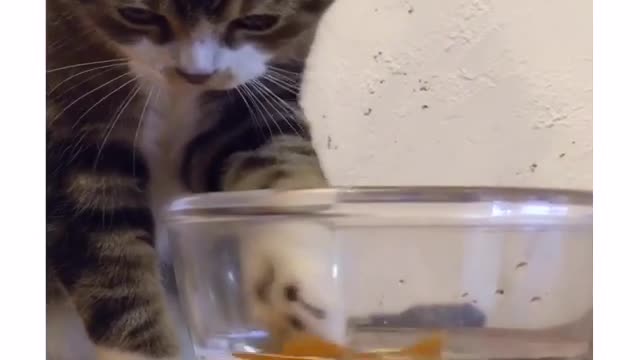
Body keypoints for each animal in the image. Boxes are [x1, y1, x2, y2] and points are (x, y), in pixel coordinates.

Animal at [46, 0, 336, 360]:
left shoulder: (251, 107)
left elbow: (280, 165)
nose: (196, 75)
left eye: (259, 21)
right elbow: (110, 260)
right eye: (136, 14)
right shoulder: (76, 136)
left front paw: (309, 285)